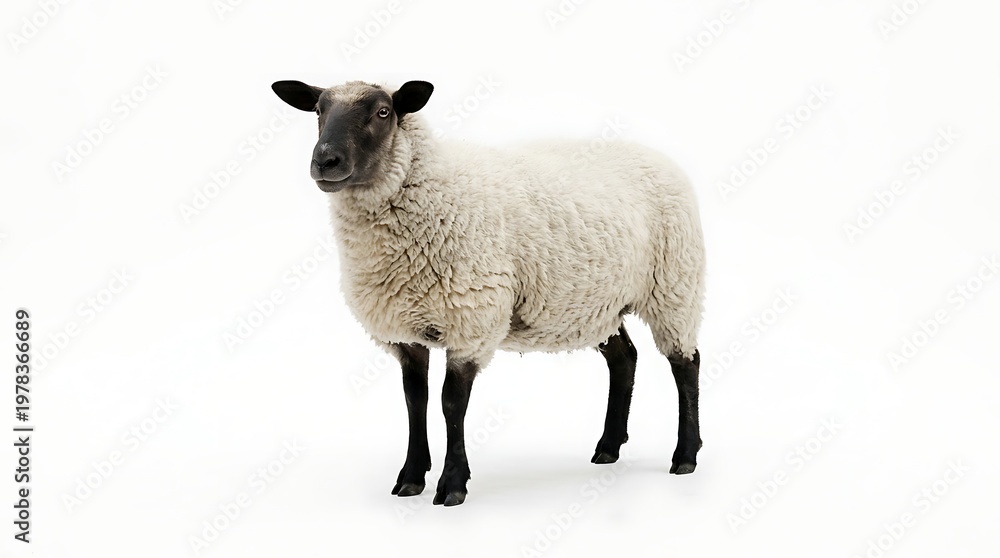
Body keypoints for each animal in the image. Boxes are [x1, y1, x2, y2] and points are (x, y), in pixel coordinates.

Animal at [271, 79, 706, 506]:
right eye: (318, 110)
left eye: (383, 112)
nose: (325, 161)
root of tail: (654, 153)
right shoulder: (405, 332)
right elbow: (415, 400)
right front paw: (411, 477)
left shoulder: (472, 321)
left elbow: (450, 403)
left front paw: (452, 485)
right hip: (594, 304)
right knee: (624, 359)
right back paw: (608, 448)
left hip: (674, 285)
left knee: (685, 363)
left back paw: (685, 456)